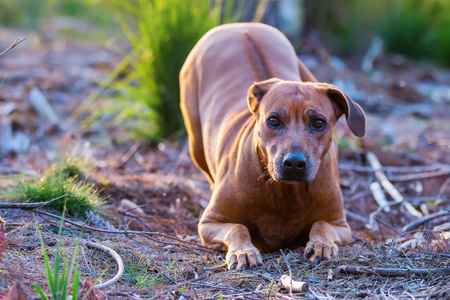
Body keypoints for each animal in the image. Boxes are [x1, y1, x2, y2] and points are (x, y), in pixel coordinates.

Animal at [179, 22, 366, 270]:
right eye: (273, 120)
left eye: (318, 123)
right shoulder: (210, 223)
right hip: (195, 141)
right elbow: (238, 227)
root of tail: (239, 26)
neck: (285, 192)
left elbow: (322, 224)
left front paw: (321, 244)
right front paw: (243, 251)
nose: (294, 163)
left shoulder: (341, 225)